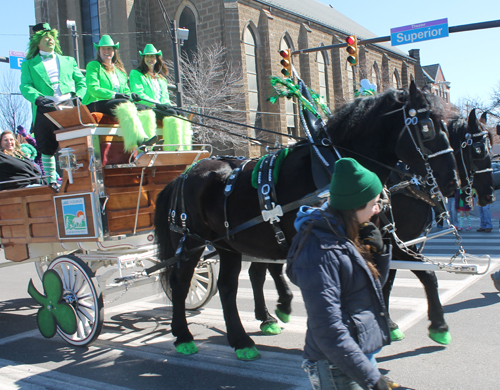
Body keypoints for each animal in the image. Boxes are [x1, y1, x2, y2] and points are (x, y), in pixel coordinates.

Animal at [154, 80, 458, 362]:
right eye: (427, 128)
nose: (452, 183)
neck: (334, 166)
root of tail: (184, 175)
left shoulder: (383, 240)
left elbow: (402, 274)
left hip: (227, 244)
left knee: (229, 287)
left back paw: (242, 341)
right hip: (191, 241)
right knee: (181, 283)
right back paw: (184, 336)